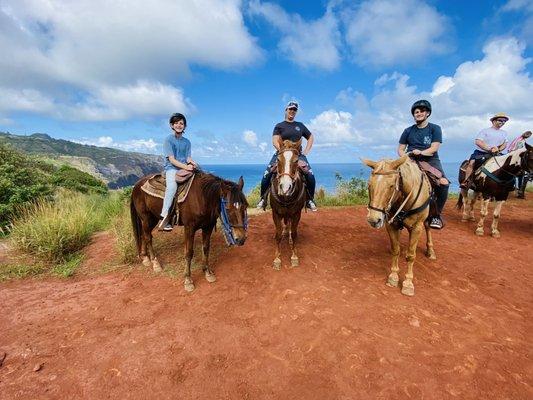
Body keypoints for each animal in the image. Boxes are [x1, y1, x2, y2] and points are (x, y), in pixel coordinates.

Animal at [270, 140, 308, 268]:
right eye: (278, 160)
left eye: (296, 161)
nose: (285, 187)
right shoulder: (276, 213)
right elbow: (278, 234)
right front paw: (277, 258)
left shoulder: (296, 213)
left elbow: (295, 233)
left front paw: (294, 256)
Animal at [364, 156, 434, 296]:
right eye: (369, 185)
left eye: (391, 186)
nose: (374, 219)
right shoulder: (391, 225)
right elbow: (395, 250)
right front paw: (393, 276)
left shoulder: (417, 227)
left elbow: (411, 256)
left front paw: (408, 283)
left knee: (428, 227)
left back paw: (430, 250)